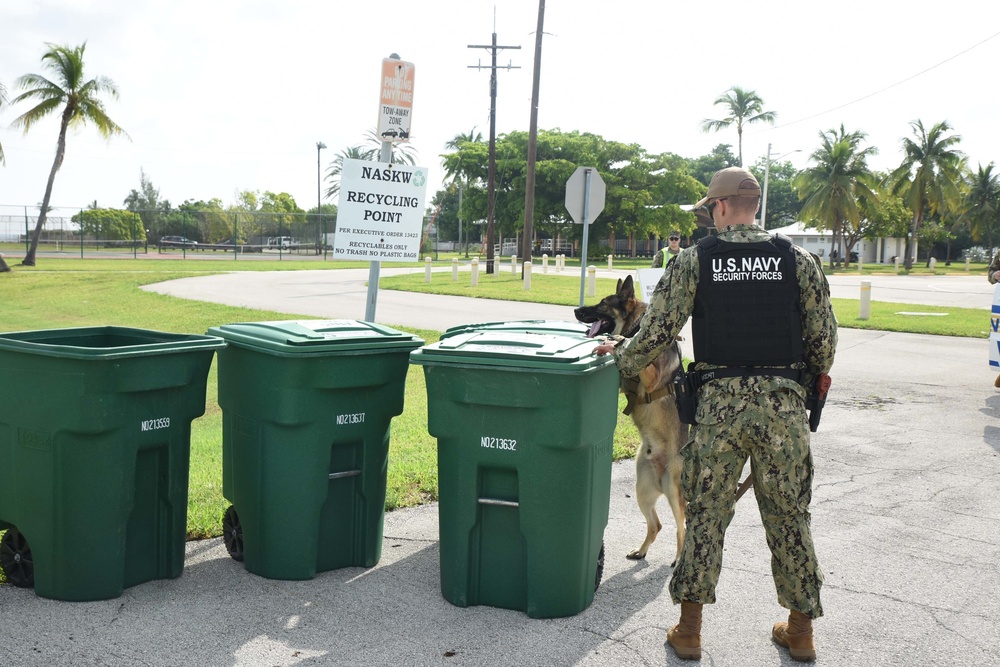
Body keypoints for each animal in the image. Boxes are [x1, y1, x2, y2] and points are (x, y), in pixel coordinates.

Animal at [572, 276, 688, 564]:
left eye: (603, 304)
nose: (576, 310)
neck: (636, 326)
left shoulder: (651, 376)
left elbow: (628, 348)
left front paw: (616, 340)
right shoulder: (624, 384)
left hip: (673, 491)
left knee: (682, 526)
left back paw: (679, 558)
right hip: (642, 491)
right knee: (656, 525)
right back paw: (641, 550)